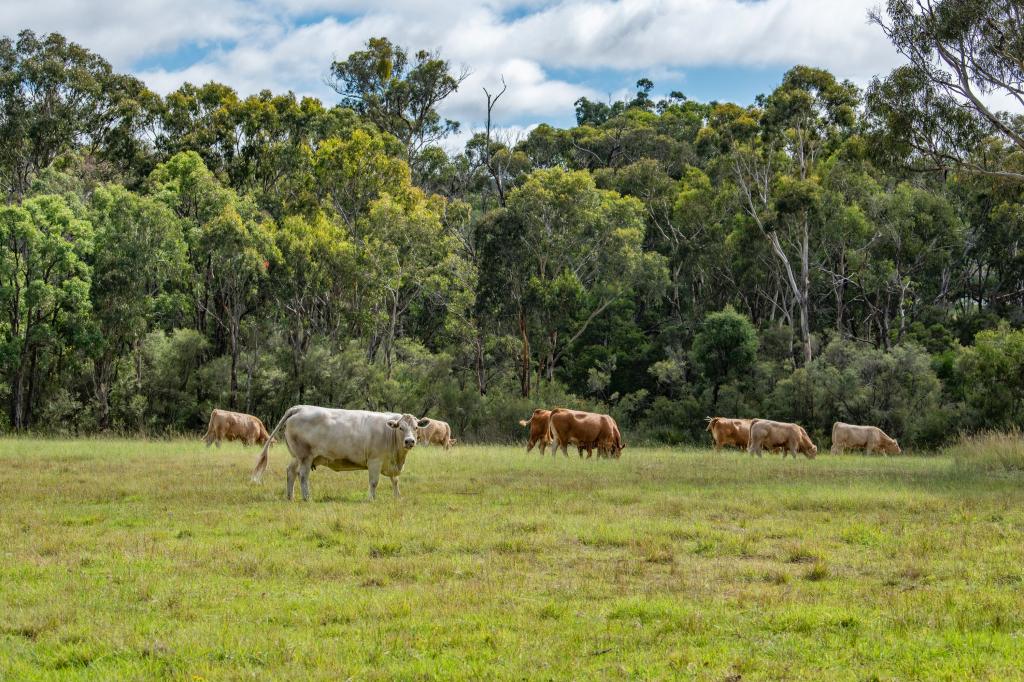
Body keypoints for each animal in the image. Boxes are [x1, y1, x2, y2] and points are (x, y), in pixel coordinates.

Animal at [251, 403, 428, 499]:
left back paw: (290, 496)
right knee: (303, 475)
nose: (409, 441)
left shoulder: (391, 463)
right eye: (401, 428)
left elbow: (395, 480)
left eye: (416, 427)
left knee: (290, 472)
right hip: (305, 456)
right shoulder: (374, 461)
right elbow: (374, 482)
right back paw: (307, 497)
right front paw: (371, 498)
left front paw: (398, 497)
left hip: (296, 456)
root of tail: (300, 408)